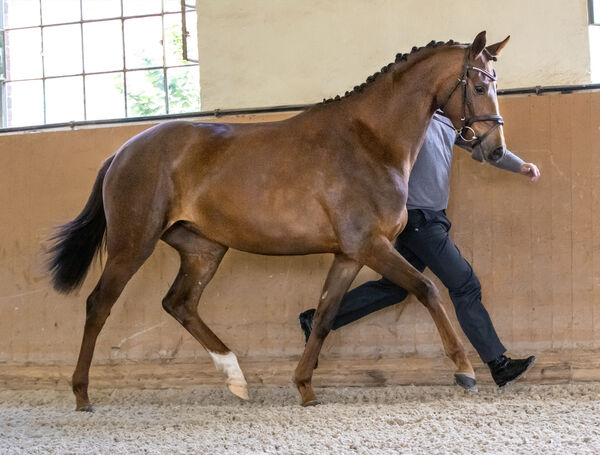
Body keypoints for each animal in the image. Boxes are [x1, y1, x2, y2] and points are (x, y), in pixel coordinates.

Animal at [48, 30, 510, 412]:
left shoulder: (349, 254)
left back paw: (237, 379)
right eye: (480, 85)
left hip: (204, 249)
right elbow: (428, 289)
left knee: (179, 303)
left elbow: (324, 315)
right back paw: (82, 395)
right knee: (99, 305)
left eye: (495, 82)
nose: (494, 149)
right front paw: (465, 370)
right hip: (133, 244)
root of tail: (122, 152)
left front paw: (305, 387)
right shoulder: (370, 245)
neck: (369, 141)